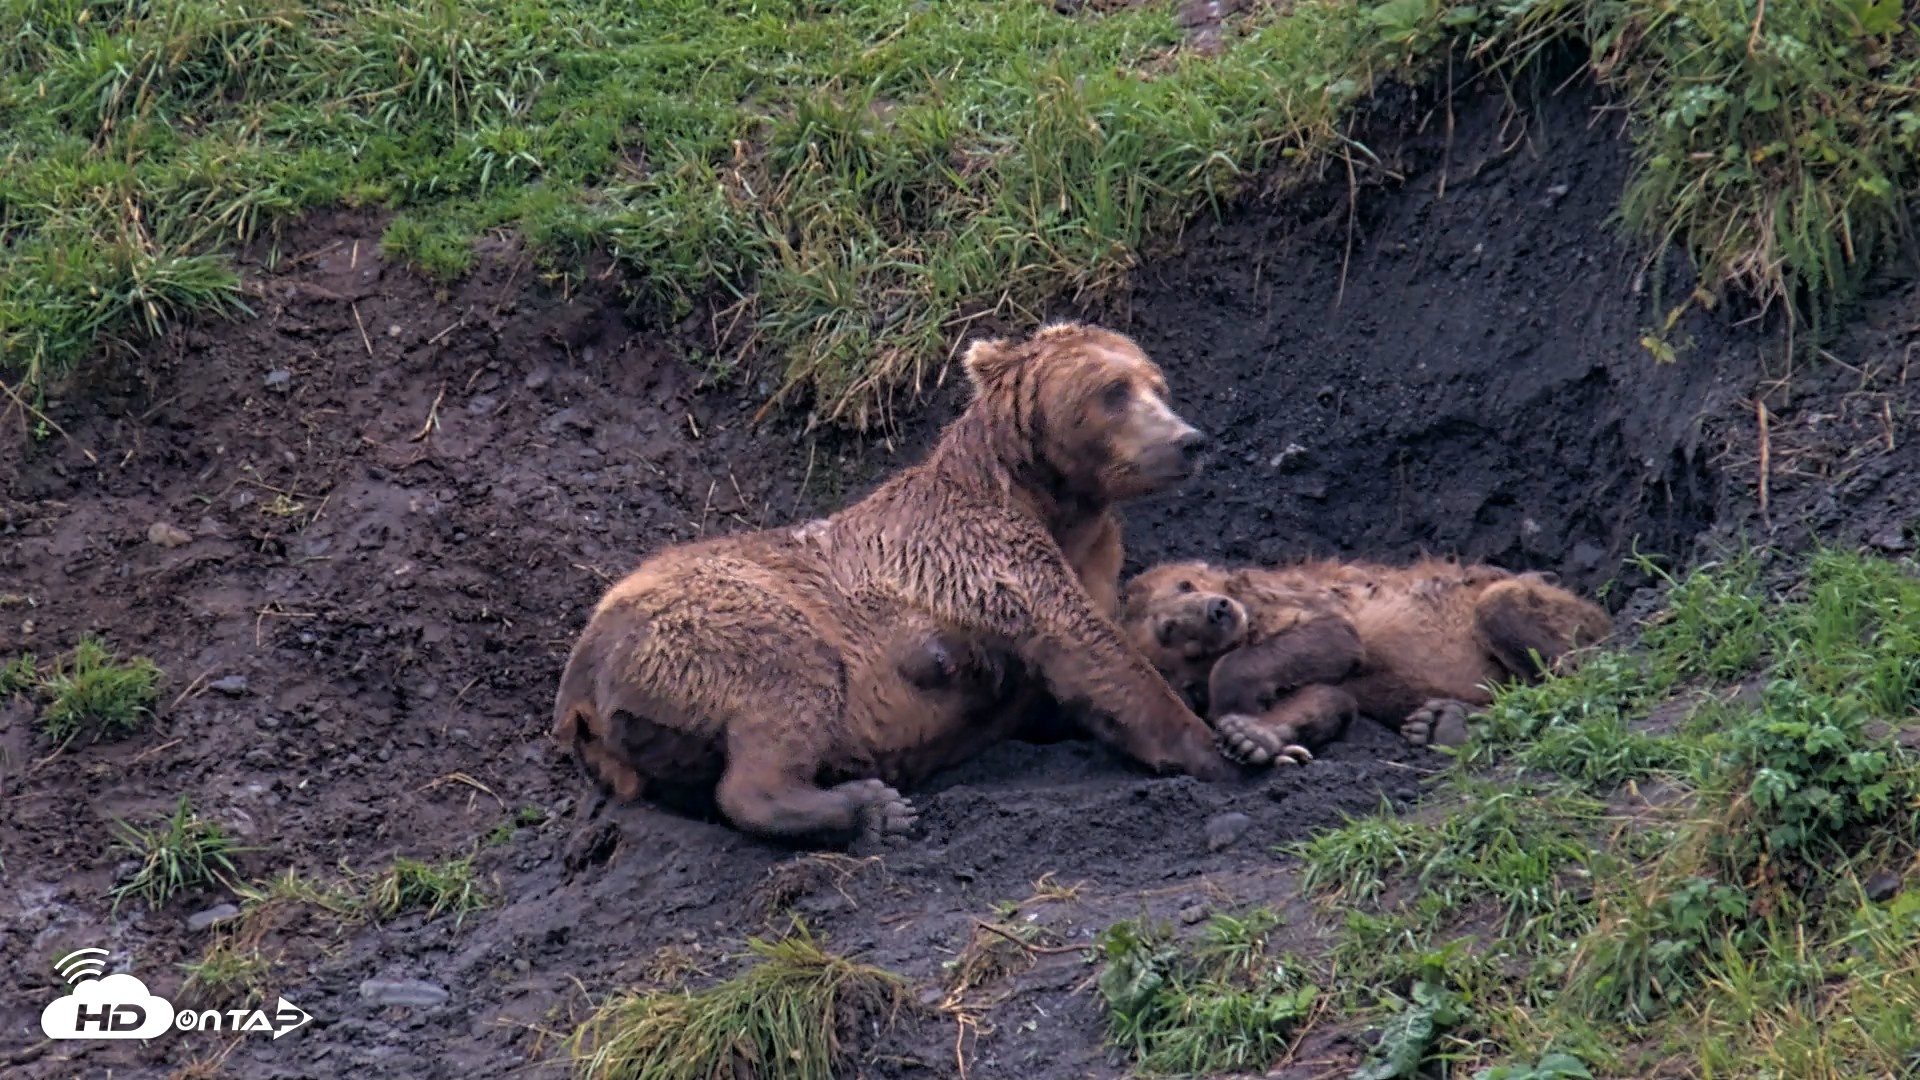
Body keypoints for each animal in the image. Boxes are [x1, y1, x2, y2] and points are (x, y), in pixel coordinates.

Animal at [552, 321, 1238, 849]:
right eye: (1113, 390)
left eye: (1158, 384)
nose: (1189, 440)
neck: (1055, 503)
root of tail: (578, 687)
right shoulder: (981, 553)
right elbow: (1087, 648)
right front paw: (1223, 750)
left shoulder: (1090, 555)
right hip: (710, 623)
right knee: (786, 685)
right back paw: (870, 807)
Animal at [1119, 555, 1614, 767]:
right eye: (1170, 629)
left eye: (1185, 584)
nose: (1217, 610)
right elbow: (1327, 696)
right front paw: (1251, 737)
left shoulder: (1292, 601)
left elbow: (1333, 637)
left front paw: (1234, 711)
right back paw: (1443, 722)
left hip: (1561, 608)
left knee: (1506, 608)